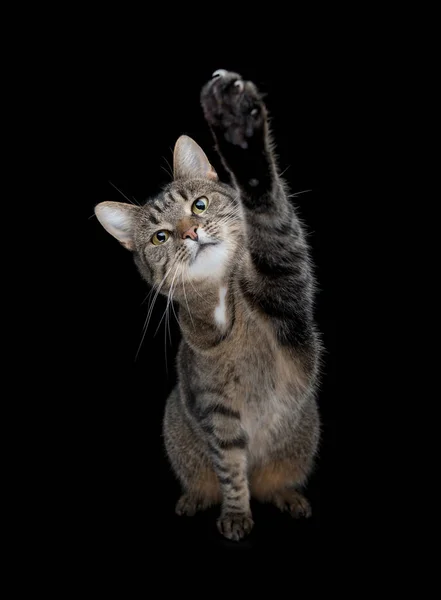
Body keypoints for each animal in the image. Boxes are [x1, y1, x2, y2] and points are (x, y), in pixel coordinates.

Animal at [93, 69, 320, 540]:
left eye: (199, 204)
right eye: (160, 236)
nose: (191, 232)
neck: (218, 296)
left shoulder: (286, 289)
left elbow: (271, 217)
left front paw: (239, 131)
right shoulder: (214, 409)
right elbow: (231, 468)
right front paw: (235, 514)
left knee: (276, 479)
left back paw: (287, 495)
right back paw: (196, 497)